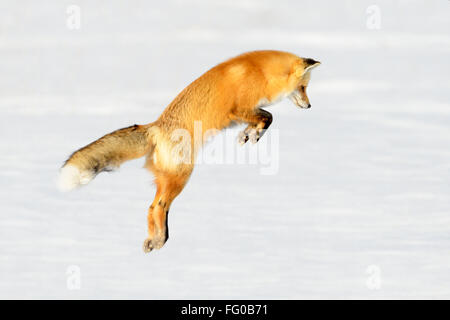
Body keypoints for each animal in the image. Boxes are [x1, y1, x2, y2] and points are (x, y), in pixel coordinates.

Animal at [59, 50, 320, 252]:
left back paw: (154, 240)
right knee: (159, 206)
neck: (260, 72)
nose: (309, 106)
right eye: (303, 88)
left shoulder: (243, 113)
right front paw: (252, 135)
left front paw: (248, 134)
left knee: (151, 207)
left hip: (169, 177)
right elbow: (269, 116)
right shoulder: (239, 109)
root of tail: (155, 127)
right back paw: (160, 240)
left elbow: (264, 119)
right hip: (181, 176)